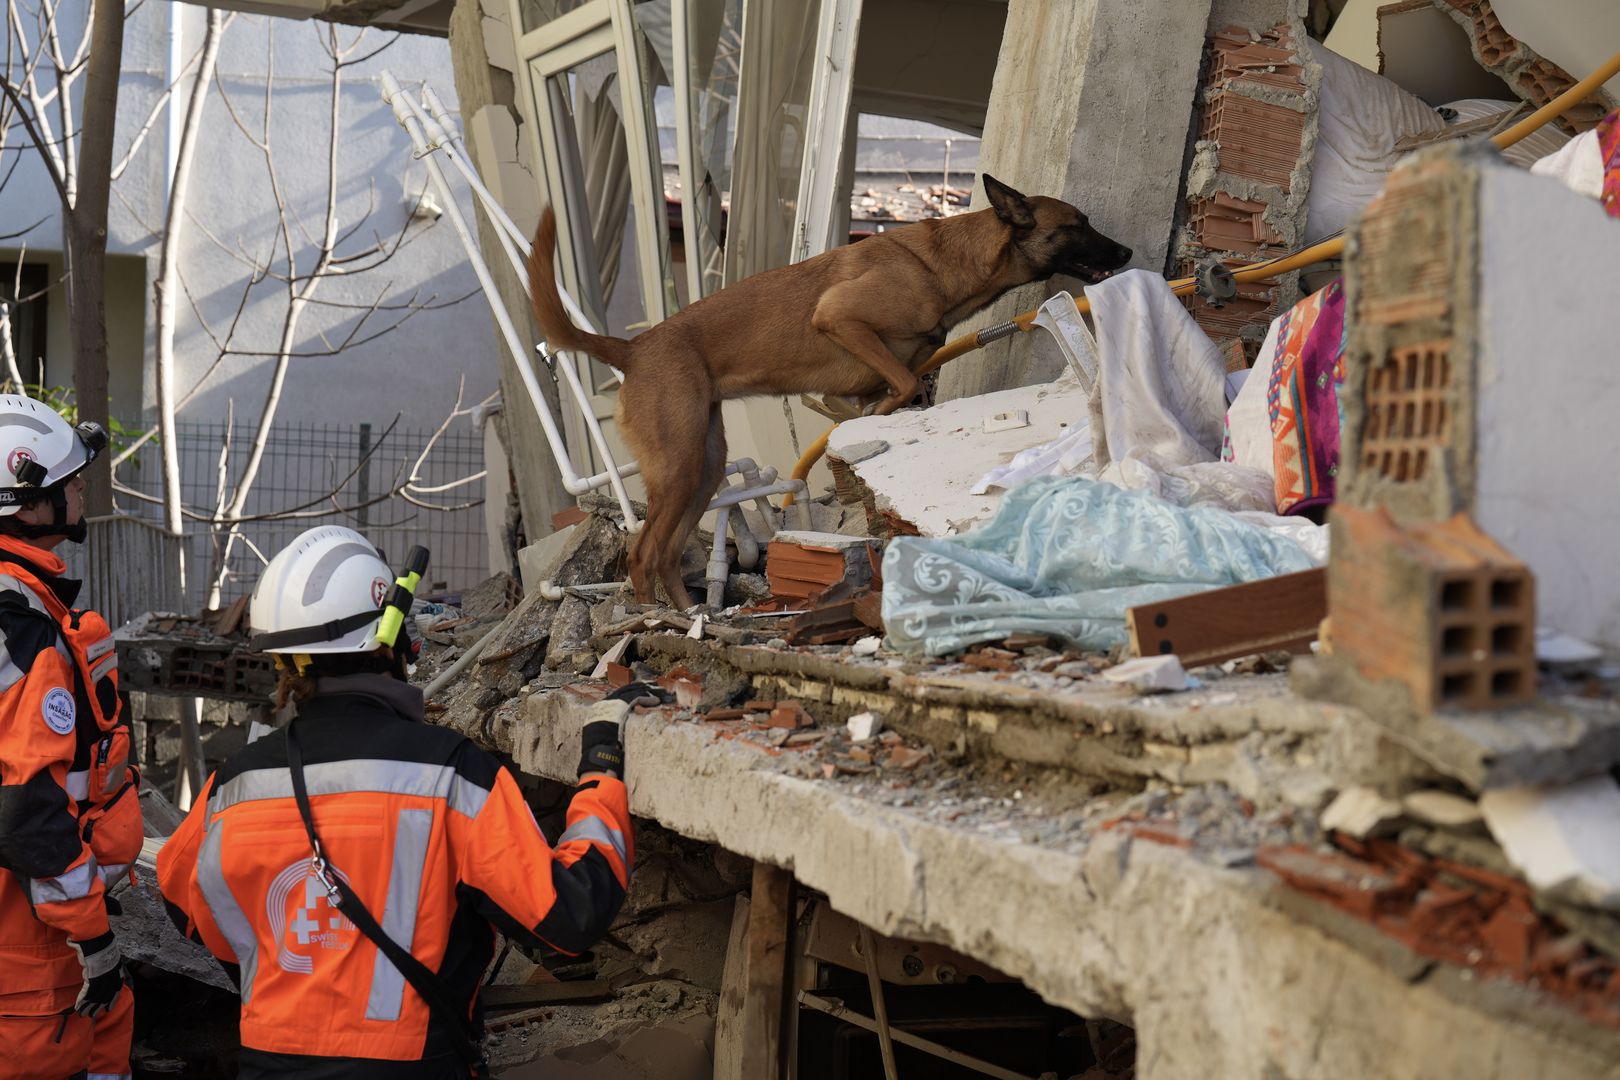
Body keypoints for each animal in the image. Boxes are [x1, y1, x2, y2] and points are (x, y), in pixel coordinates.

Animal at [524, 173, 1134, 605]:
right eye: (1078, 224)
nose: (1128, 253)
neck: (942, 265)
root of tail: (632, 349)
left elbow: (883, 396)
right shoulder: (839, 318)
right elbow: (903, 385)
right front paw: (881, 415)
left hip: (704, 465)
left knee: (669, 552)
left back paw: (695, 615)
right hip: (678, 466)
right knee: (642, 553)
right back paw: (656, 620)